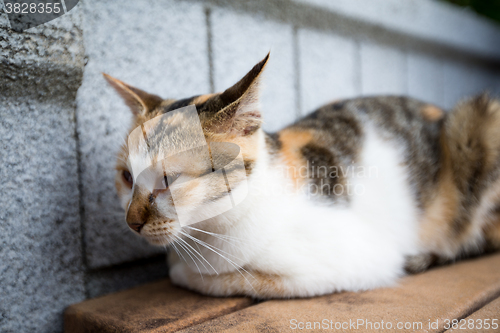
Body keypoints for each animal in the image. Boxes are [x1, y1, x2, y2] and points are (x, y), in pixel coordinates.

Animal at [103, 54, 500, 298]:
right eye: (126, 177)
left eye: (169, 179)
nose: (132, 222)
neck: (211, 231)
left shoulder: (359, 261)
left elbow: (231, 279)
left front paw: (186, 272)